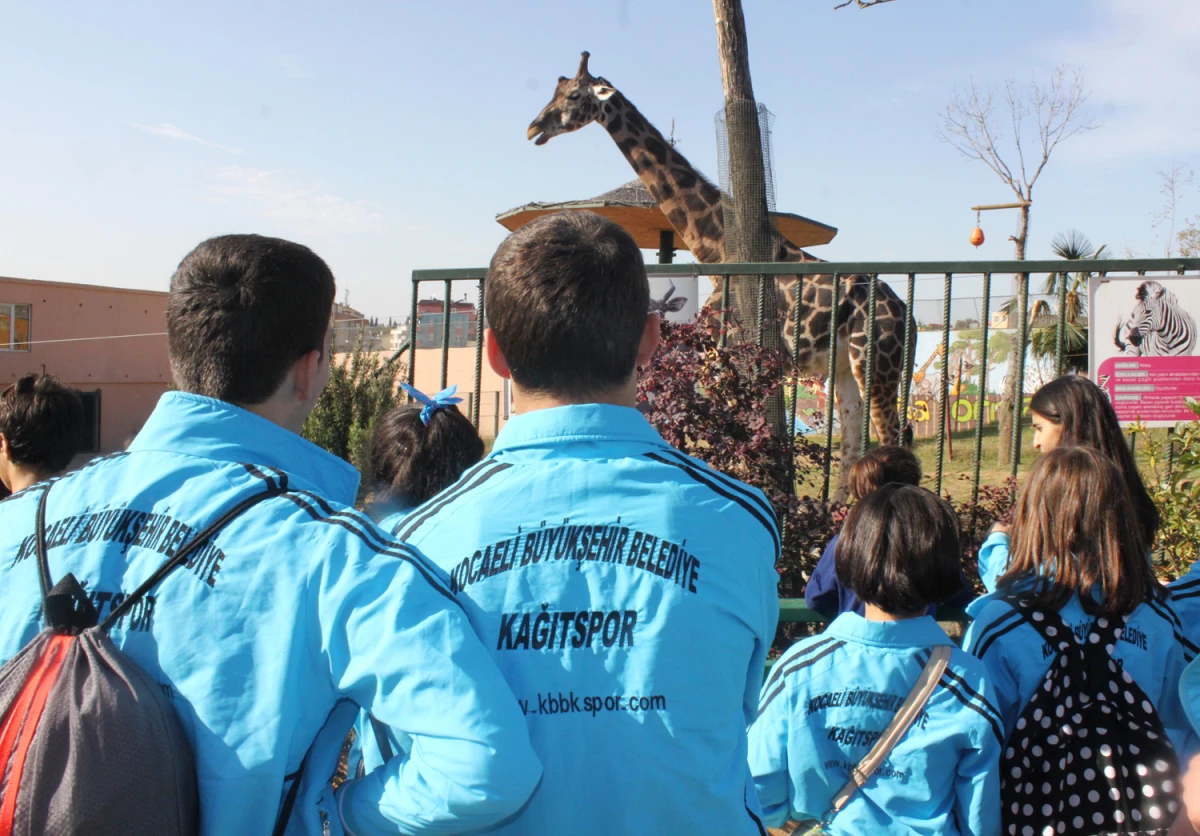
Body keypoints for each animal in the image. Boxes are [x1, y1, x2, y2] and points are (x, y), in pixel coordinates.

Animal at [528, 52, 907, 489]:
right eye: (553, 92)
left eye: (574, 95)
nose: (533, 128)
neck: (717, 249)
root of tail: (906, 315)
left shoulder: (732, 358)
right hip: (847, 368)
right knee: (852, 447)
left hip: (877, 363)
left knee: (892, 438)